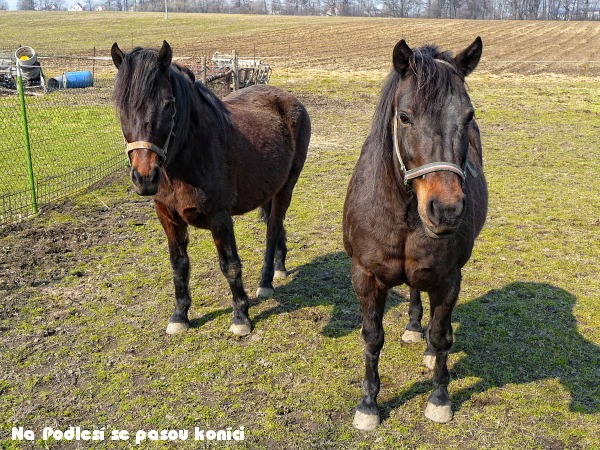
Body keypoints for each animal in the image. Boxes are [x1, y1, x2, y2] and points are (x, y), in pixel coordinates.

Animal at [109, 42, 312, 336]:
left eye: (169, 104)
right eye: (121, 106)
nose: (145, 177)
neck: (188, 158)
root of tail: (289, 99)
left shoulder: (220, 217)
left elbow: (230, 265)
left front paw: (241, 316)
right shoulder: (168, 217)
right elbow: (178, 264)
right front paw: (180, 315)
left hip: (288, 185)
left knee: (273, 228)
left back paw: (266, 281)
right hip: (270, 187)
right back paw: (280, 266)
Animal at [342, 37, 488, 428]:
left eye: (468, 116)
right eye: (405, 117)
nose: (446, 210)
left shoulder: (448, 279)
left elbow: (441, 336)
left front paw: (439, 399)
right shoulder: (365, 276)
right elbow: (372, 338)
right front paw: (368, 405)